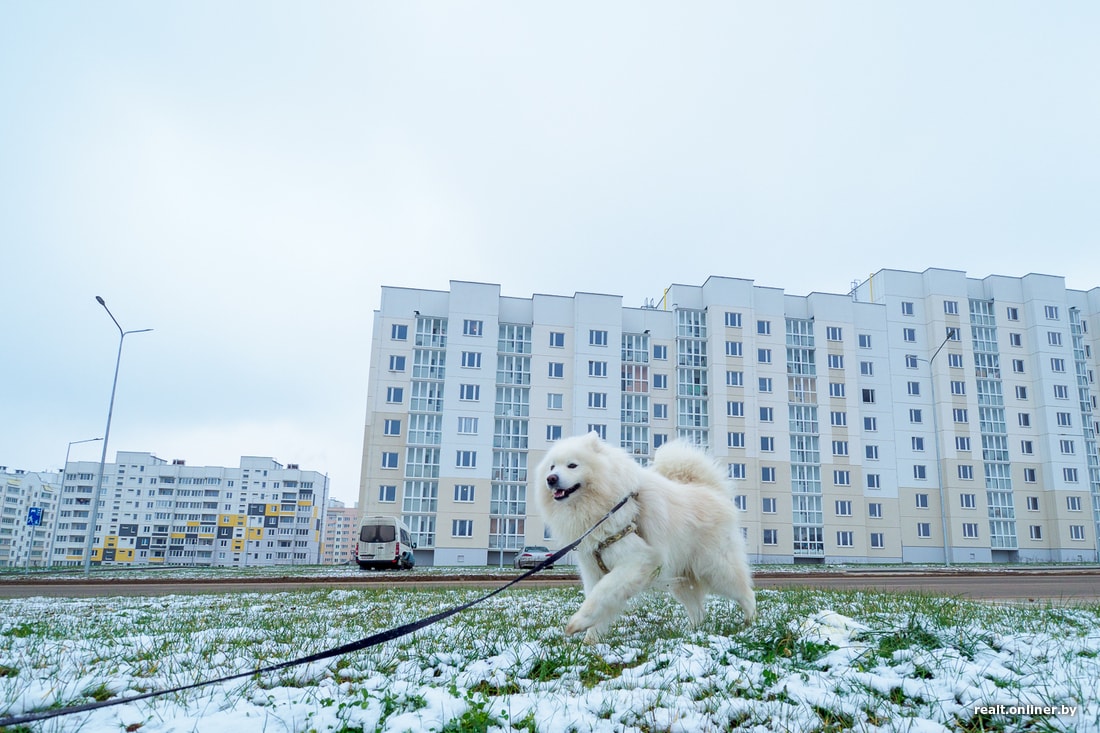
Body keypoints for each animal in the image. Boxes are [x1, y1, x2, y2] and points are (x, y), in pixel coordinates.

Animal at [534, 431, 756, 638]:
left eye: (572, 465)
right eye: (552, 467)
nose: (550, 479)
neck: (603, 507)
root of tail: (713, 490)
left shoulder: (636, 560)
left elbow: (601, 594)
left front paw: (578, 623)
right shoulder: (592, 570)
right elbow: (599, 600)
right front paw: (590, 641)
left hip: (716, 568)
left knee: (746, 593)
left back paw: (750, 623)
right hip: (682, 578)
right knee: (698, 611)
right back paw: (690, 632)